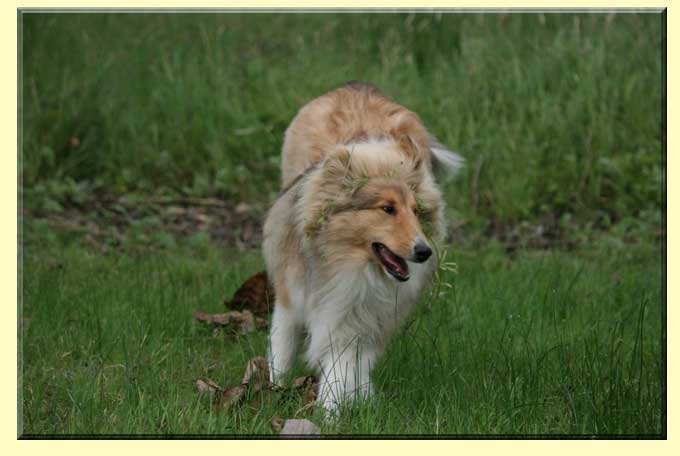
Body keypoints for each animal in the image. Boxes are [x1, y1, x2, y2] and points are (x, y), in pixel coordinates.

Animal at [262, 82, 461, 413]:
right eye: (387, 209)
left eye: (416, 211)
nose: (424, 252)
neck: (350, 265)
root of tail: (359, 86)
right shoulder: (292, 298)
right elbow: (282, 345)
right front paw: (273, 389)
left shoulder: (358, 318)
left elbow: (343, 365)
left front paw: (332, 411)